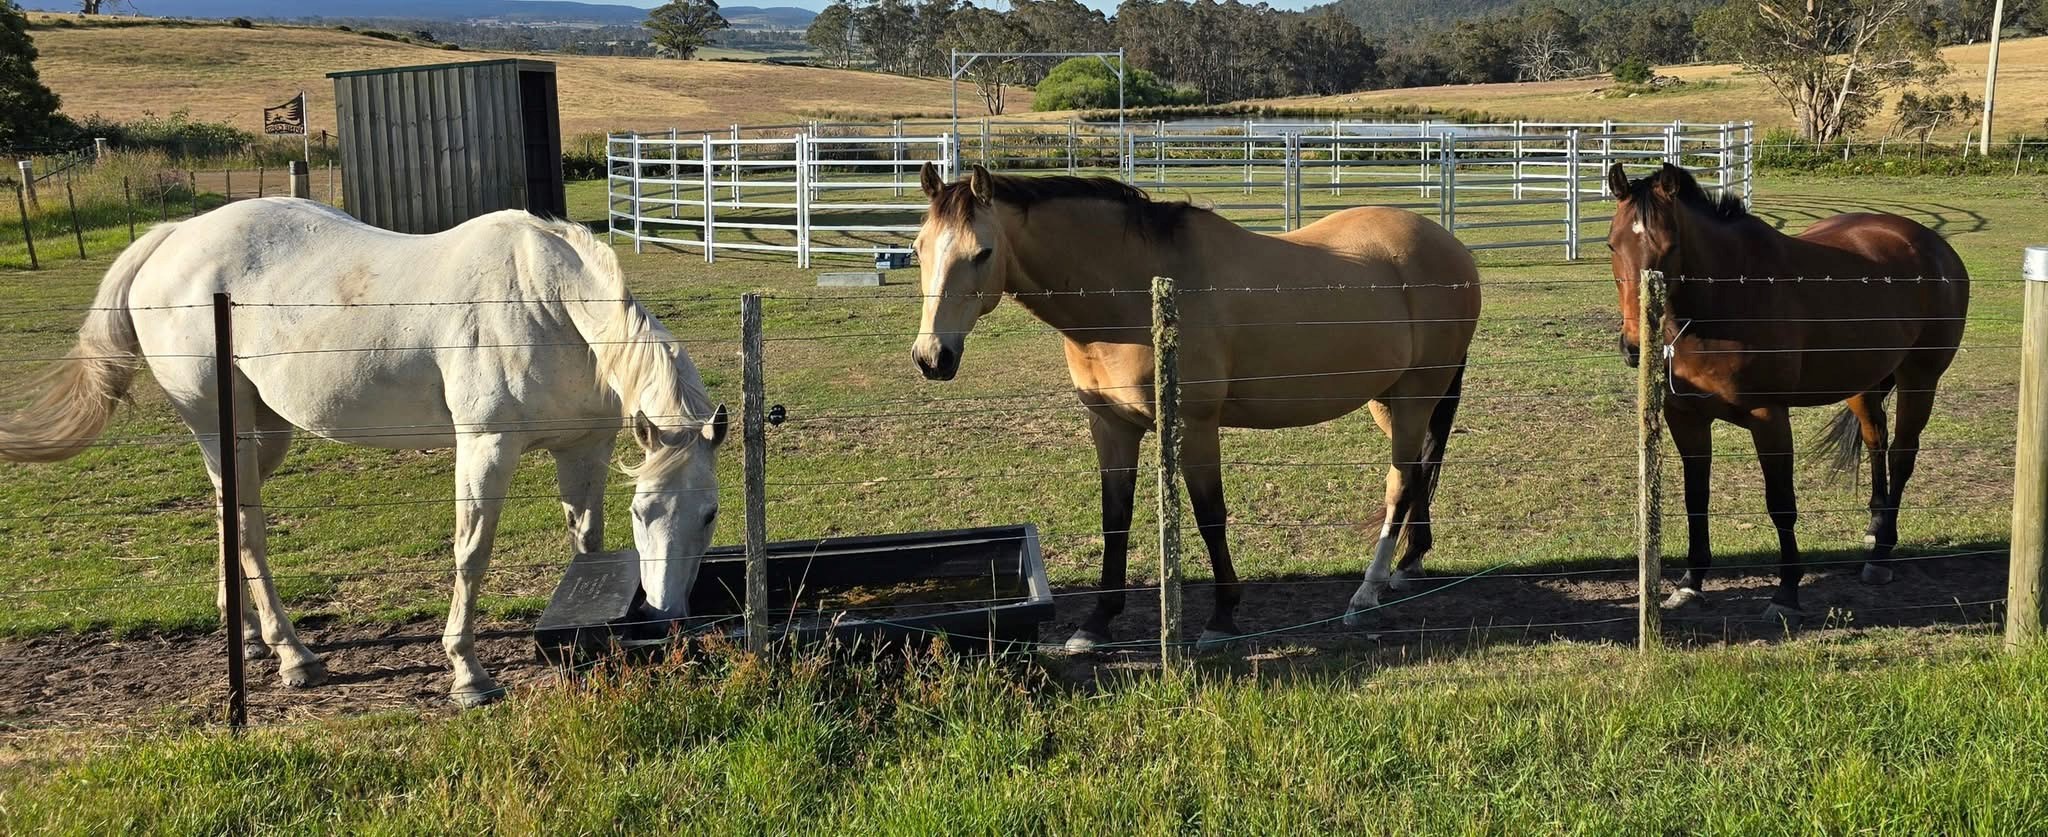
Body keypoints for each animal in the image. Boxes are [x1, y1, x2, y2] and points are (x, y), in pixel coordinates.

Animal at [0, 197, 729, 703]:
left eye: (710, 514)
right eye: (645, 513)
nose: (666, 614)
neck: (546, 304)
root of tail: (172, 238)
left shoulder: (583, 449)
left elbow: (587, 545)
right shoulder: (487, 447)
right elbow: (471, 554)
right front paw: (468, 673)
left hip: (263, 435)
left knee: (227, 517)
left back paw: (249, 639)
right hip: (221, 427)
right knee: (249, 531)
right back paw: (294, 657)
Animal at [909, 161, 1474, 646]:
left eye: (982, 252)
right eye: (918, 249)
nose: (933, 356)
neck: (1134, 295)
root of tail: (1451, 247)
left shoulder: (1195, 424)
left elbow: (1209, 516)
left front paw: (1222, 617)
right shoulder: (1110, 426)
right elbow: (1115, 516)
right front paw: (1097, 621)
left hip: (1417, 394)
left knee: (1400, 484)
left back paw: (1366, 593)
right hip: (1390, 400)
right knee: (1419, 470)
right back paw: (1407, 565)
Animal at [1613, 162, 1966, 622]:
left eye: (1669, 248)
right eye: (1613, 244)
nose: (1635, 346)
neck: (1727, 297)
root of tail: (1933, 245)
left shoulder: (1769, 417)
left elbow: (1781, 502)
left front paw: (1786, 593)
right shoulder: (1686, 417)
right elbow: (1696, 496)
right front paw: (1691, 582)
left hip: (1919, 378)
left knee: (1903, 455)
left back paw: (1882, 554)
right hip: (1861, 383)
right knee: (1876, 441)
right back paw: (1873, 532)